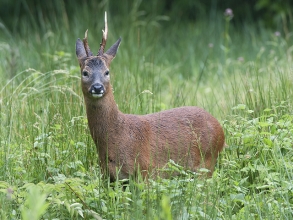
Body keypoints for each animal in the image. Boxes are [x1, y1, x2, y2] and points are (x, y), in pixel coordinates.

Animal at [75, 12, 224, 180]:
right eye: (85, 72)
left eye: (107, 72)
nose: (97, 87)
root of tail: (220, 128)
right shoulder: (108, 176)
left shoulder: (146, 170)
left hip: (207, 162)